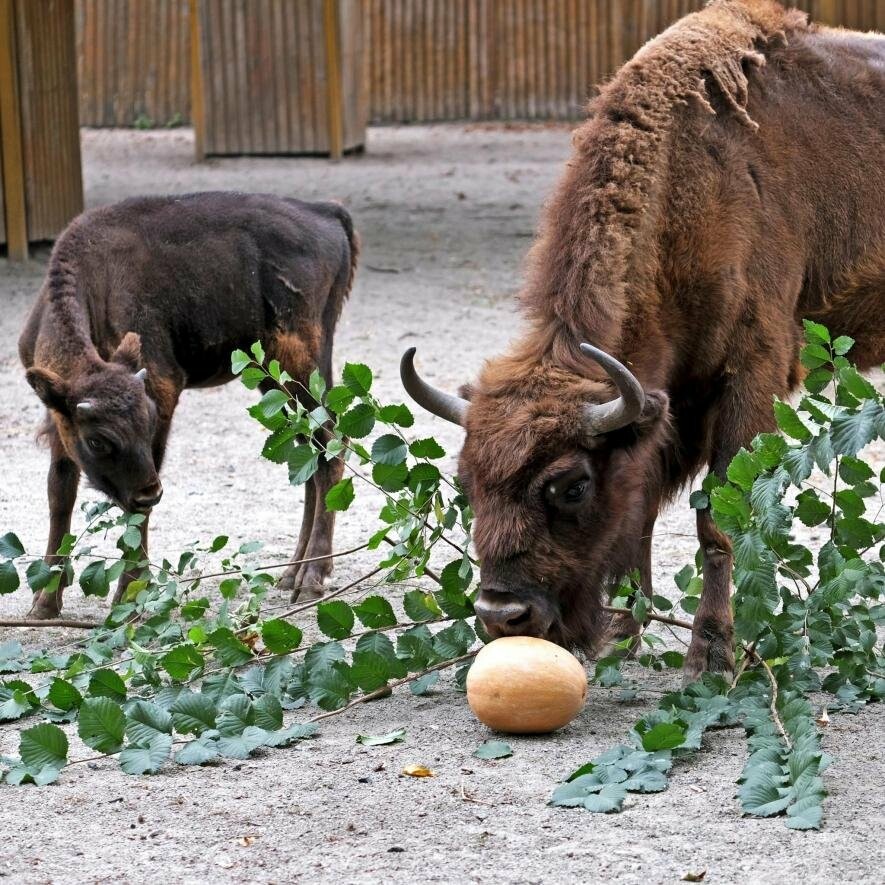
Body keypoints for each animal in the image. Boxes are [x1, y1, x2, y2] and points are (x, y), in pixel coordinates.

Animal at [18, 190, 356, 620]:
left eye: (148, 423)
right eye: (97, 440)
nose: (150, 493)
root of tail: (325, 211)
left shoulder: (162, 390)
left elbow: (134, 512)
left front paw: (130, 597)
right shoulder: (58, 415)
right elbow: (59, 493)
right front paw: (44, 604)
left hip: (300, 364)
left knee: (331, 444)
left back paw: (311, 579)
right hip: (275, 381)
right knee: (310, 452)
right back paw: (291, 573)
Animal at [402, 0, 884, 676]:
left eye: (572, 486)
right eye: (466, 483)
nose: (503, 615)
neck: (693, 187)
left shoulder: (749, 371)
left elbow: (717, 518)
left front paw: (711, 653)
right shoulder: (670, 397)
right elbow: (645, 509)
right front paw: (625, 631)